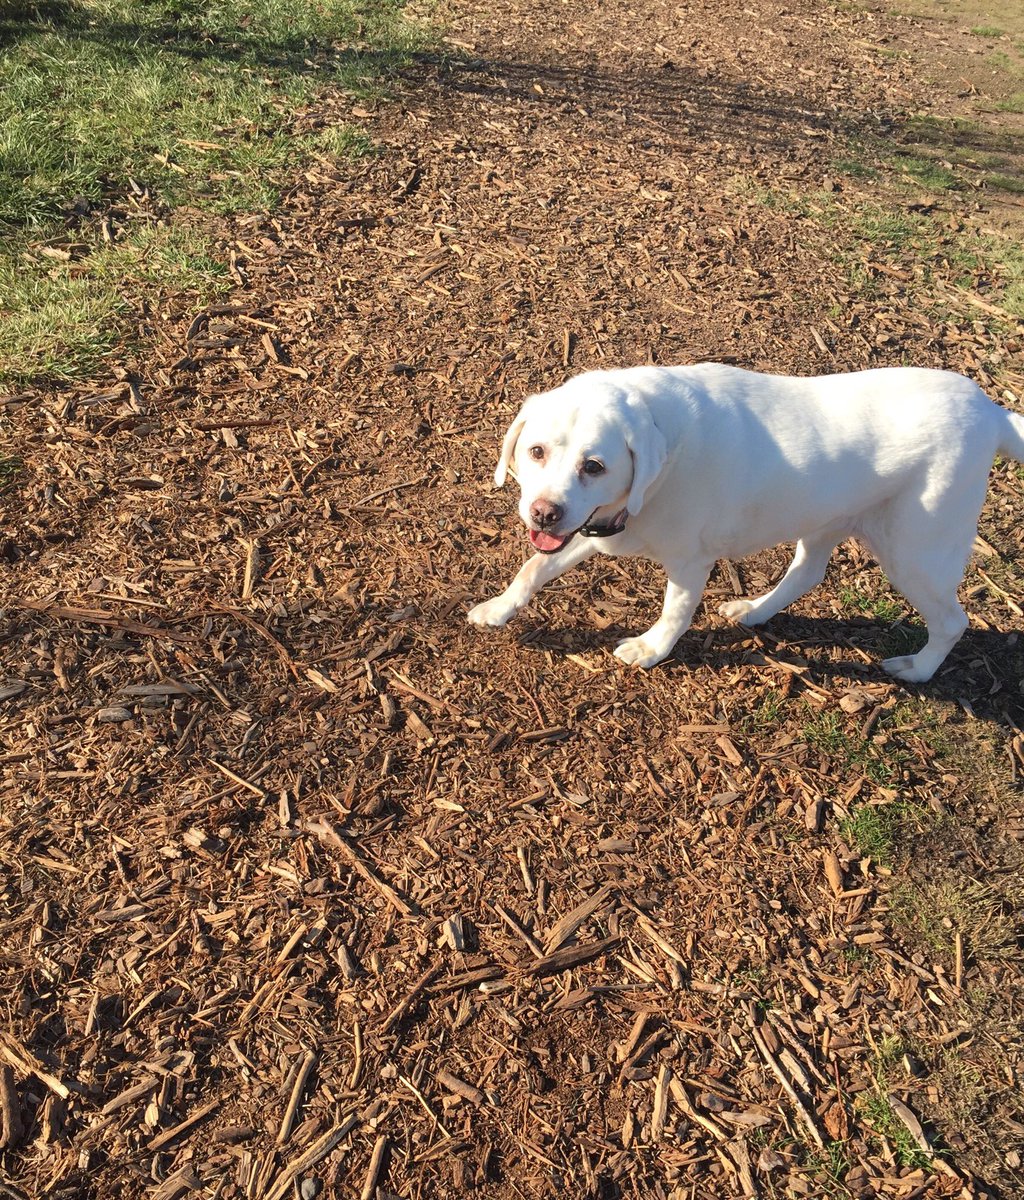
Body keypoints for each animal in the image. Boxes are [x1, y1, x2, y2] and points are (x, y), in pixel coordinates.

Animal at [468, 360, 1022, 681]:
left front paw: (649, 648)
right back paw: (754, 611)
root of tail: (993, 412)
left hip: (913, 554)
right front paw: (498, 609)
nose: (545, 512)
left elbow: (675, 612)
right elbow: (533, 569)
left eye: (594, 466)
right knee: (806, 574)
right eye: (536, 452)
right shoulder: (593, 528)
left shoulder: (689, 563)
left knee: (952, 622)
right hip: (825, 522)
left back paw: (918, 669)